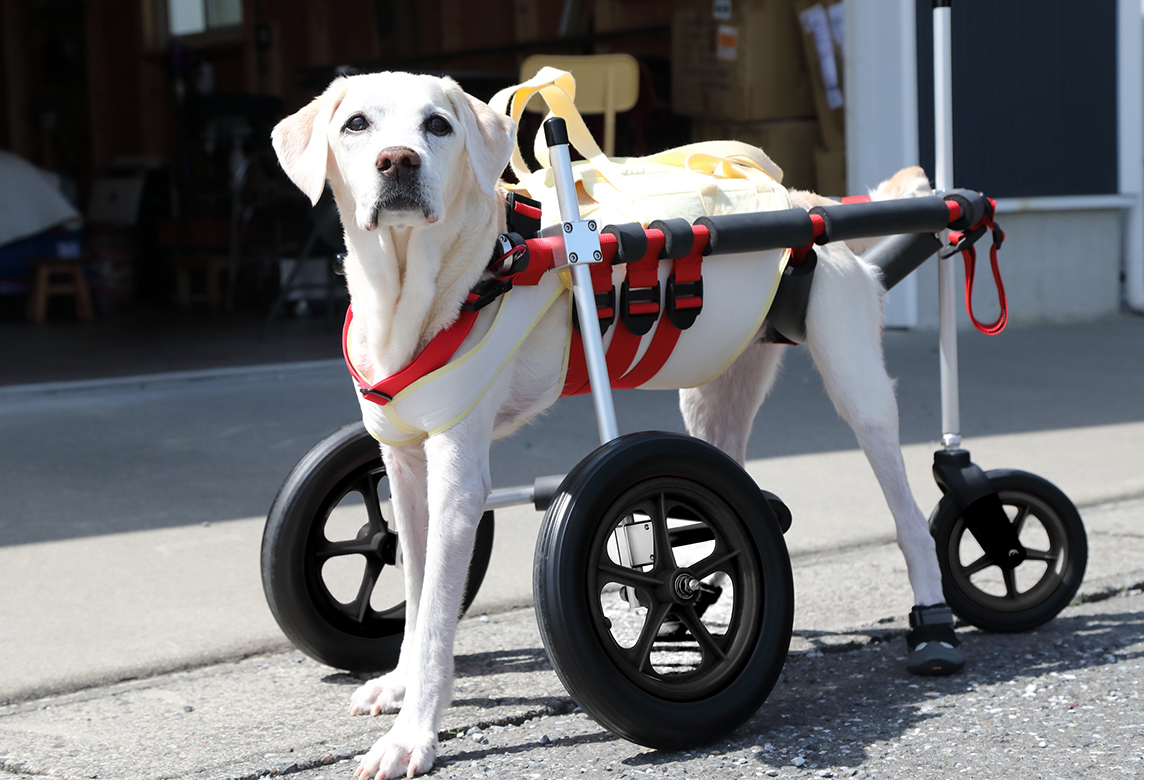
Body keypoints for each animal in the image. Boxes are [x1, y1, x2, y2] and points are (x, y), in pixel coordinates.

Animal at [271, 70, 959, 776]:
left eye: (438, 125)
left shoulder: (457, 481)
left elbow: (436, 614)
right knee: (728, 491)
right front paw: (399, 684)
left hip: (859, 389)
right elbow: (414, 591)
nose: (398, 162)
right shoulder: (407, 471)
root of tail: (809, 202)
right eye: (356, 124)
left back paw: (934, 623)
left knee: (909, 518)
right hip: (714, 394)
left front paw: (413, 736)